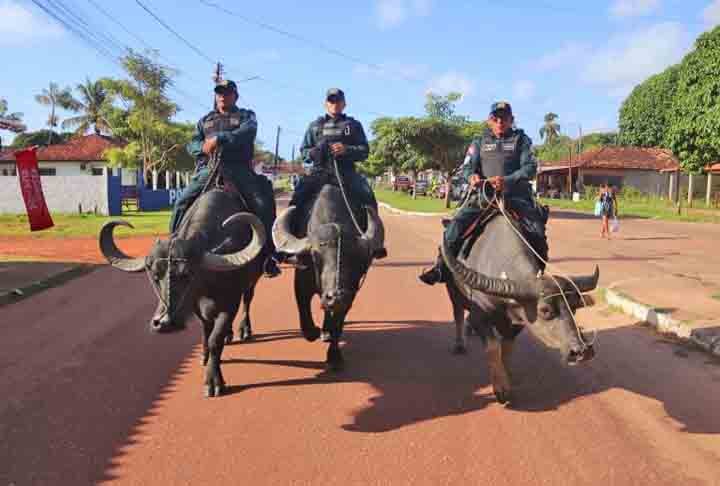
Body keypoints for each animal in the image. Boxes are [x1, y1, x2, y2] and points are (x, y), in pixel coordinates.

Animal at [100, 188, 268, 396]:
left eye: (187, 274)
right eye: (154, 275)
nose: (163, 323)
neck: (208, 285)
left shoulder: (230, 304)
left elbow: (215, 339)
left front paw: (213, 380)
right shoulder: (196, 306)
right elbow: (206, 332)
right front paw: (205, 356)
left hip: (252, 282)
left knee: (248, 300)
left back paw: (244, 329)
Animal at [272, 184, 382, 370]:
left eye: (358, 259)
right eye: (315, 256)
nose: (337, 297)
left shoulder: (350, 294)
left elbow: (337, 324)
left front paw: (334, 356)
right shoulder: (301, 283)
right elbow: (305, 319)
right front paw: (314, 331)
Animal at [442, 211, 600, 404]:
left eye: (574, 307)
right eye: (545, 310)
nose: (582, 351)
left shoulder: (518, 324)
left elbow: (507, 348)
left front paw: (507, 376)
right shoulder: (479, 316)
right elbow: (493, 346)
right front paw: (501, 388)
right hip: (452, 291)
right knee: (457, 313)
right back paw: (459, 344)